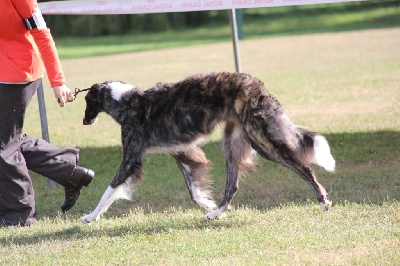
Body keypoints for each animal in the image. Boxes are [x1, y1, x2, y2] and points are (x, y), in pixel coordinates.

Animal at [79, 71, 334, 222]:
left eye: (86, 101)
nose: (83, 121)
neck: (127, 101)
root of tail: (258, 86)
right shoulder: (182, 153)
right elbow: (194, 191)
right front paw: (207, 203)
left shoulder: (130, 159)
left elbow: (110, 189)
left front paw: (91, 216)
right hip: (233, 145)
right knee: (232, 186)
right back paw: (216, 212)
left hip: (264, 142)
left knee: (305, 168)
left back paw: (323, 201)